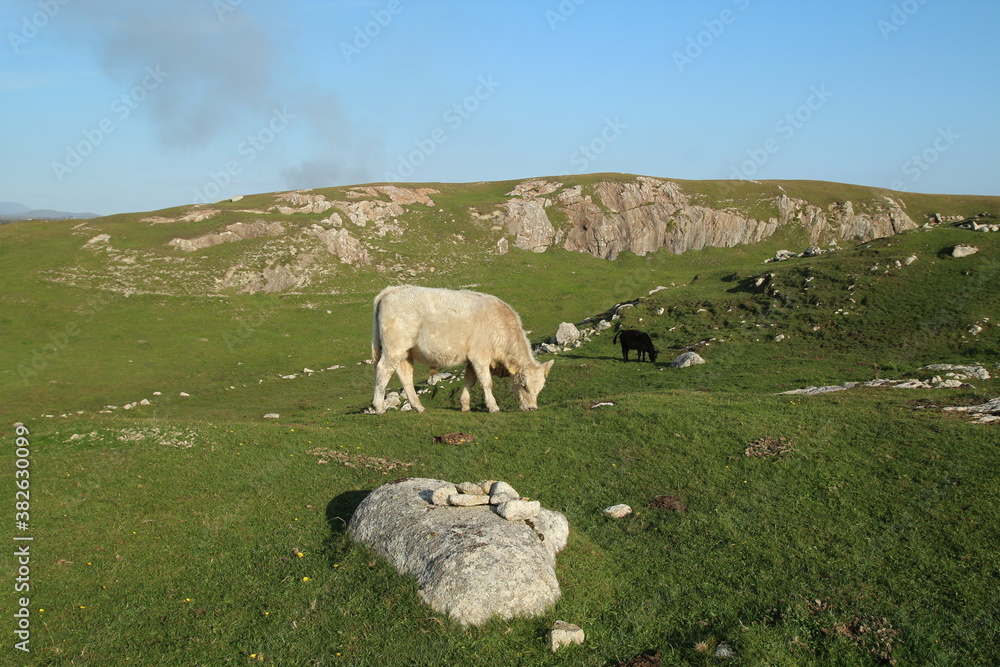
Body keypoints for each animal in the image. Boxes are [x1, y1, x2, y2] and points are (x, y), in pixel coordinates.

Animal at [371, 285, 554, 414]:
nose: (532, 408)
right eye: (523, 385)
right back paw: (379, 407)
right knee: (383, 370)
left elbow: (469, 380)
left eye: (540, 388)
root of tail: (392, 290)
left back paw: (418, 407)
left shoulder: (472, 358)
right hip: (394, 348)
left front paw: (464, 404)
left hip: (406, 352)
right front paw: (493, 406)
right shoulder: (480, 356)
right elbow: (486, 382)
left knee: (405, 376)